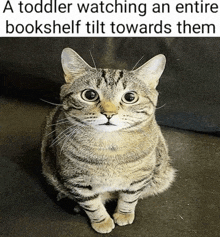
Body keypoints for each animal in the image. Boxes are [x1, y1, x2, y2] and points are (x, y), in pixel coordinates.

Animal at [40, 47, 175, 233]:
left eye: (130, 97)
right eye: (90, 94)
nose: (109, 113)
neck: (110, 149)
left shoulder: (141, 176)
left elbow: (129, 198)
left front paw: (124, 214)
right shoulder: (77, 181)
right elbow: (92, 205)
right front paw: (102, 221)